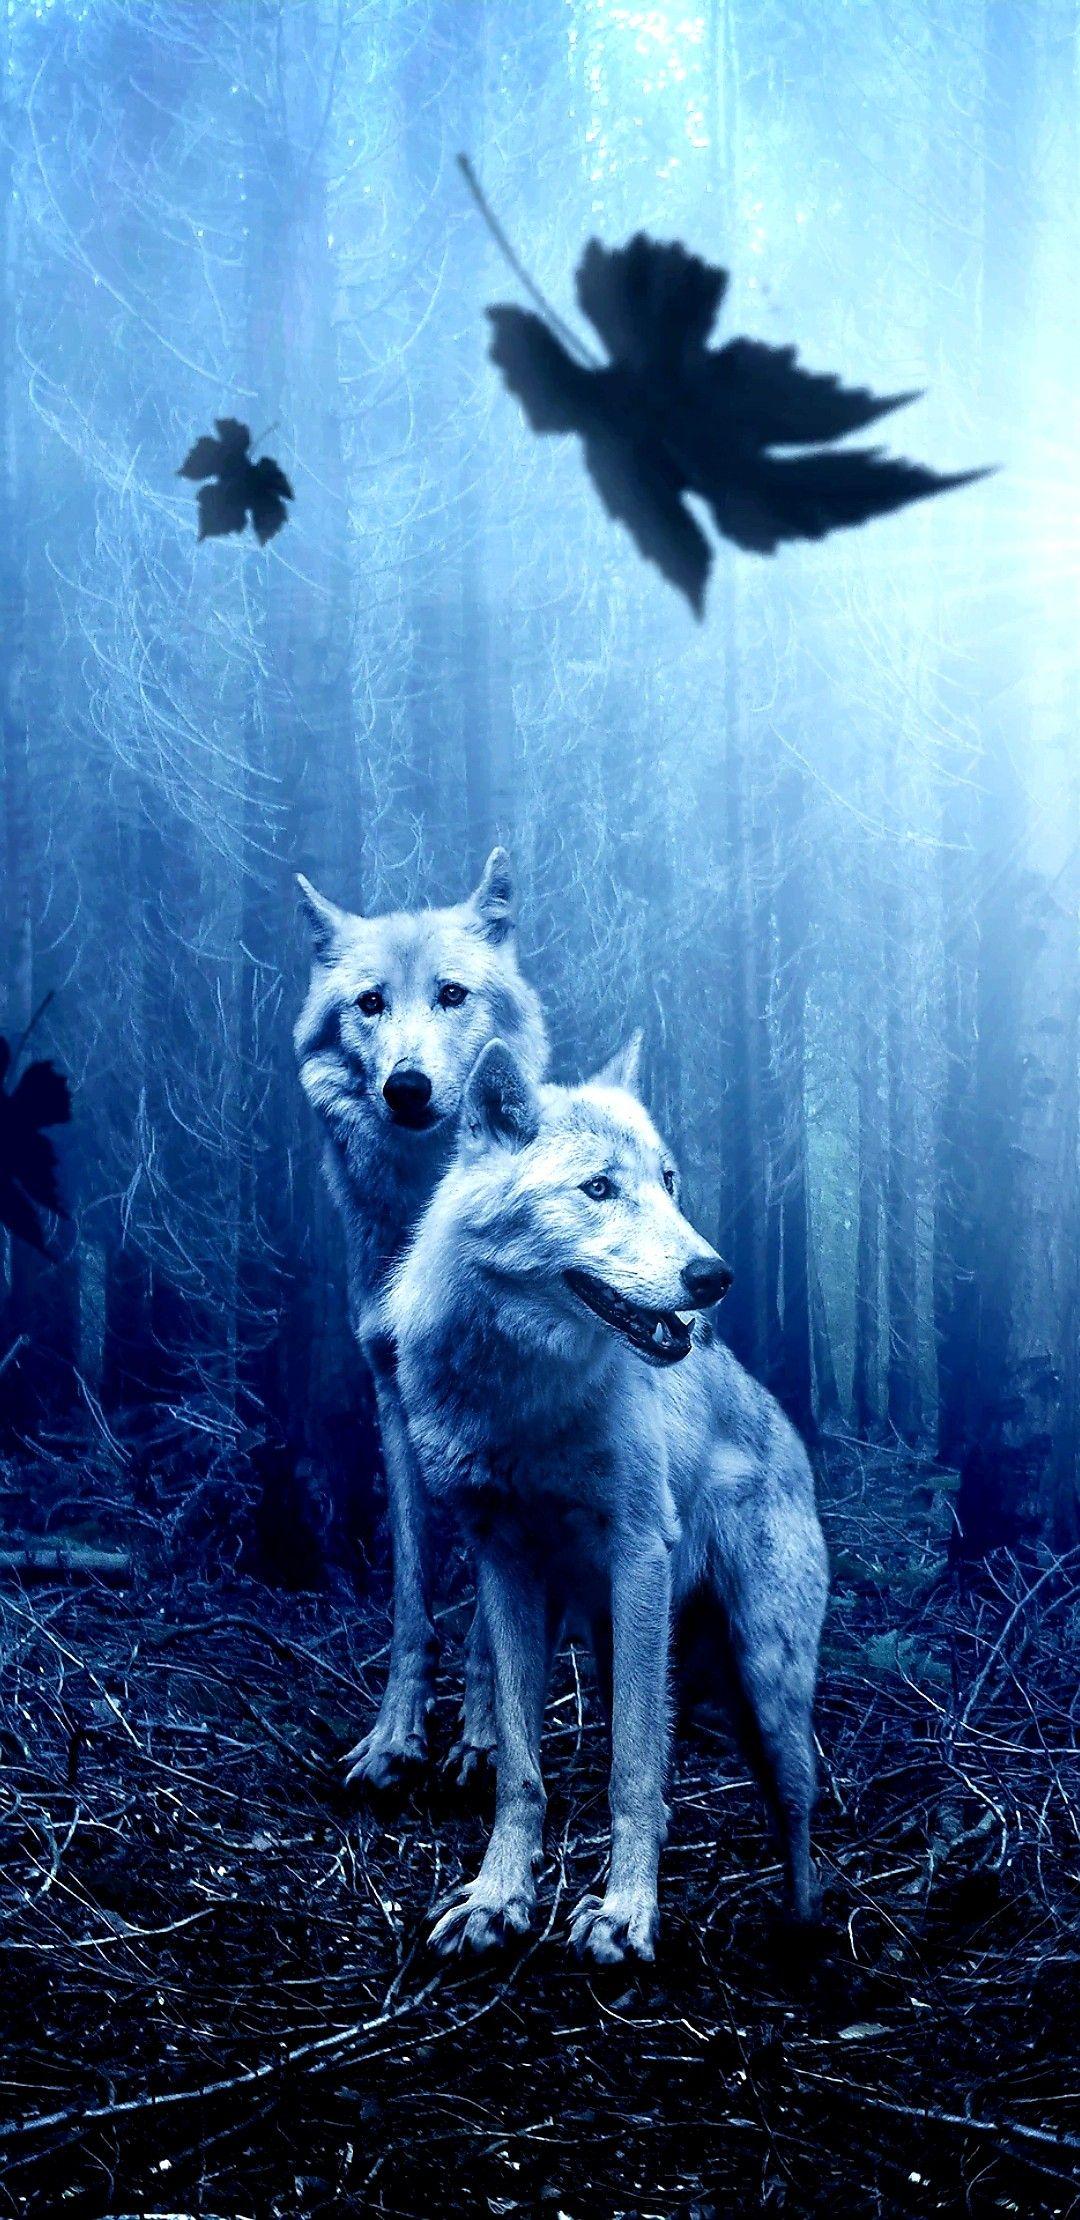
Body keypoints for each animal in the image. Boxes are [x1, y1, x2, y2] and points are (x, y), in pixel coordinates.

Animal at [294, 852, 547, 1789]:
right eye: (370, 1002)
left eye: (451, 993)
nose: (407, 1087)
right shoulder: (393, 1399)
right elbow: (412, 1594)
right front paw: (395, 1737)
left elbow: (490, 1618)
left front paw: (483, 1738)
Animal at [388, 1035, 829, 1962]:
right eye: (598, 1188)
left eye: (668, 1181)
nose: (714, 1276)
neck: (524, 1402)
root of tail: (786, 1429)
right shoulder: (505, 1566)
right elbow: (520, 1769)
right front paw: (498, 1900)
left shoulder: (637, 1556)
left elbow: (631, 1770)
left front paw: (627, 1916)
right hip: (618, 1641)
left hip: (764, 1676)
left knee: (797, 1803)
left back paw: (802, 1932)